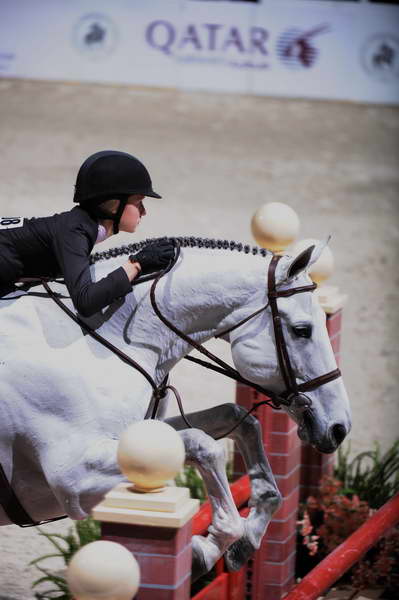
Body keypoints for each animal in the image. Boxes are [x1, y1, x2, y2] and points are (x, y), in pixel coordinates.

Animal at [0, 238, 350, 576]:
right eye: (302, 330)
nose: (339, 428)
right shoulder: (74, 479)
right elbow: (205, 446)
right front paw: (203, 550)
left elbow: (239, 420)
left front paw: (245, 542)